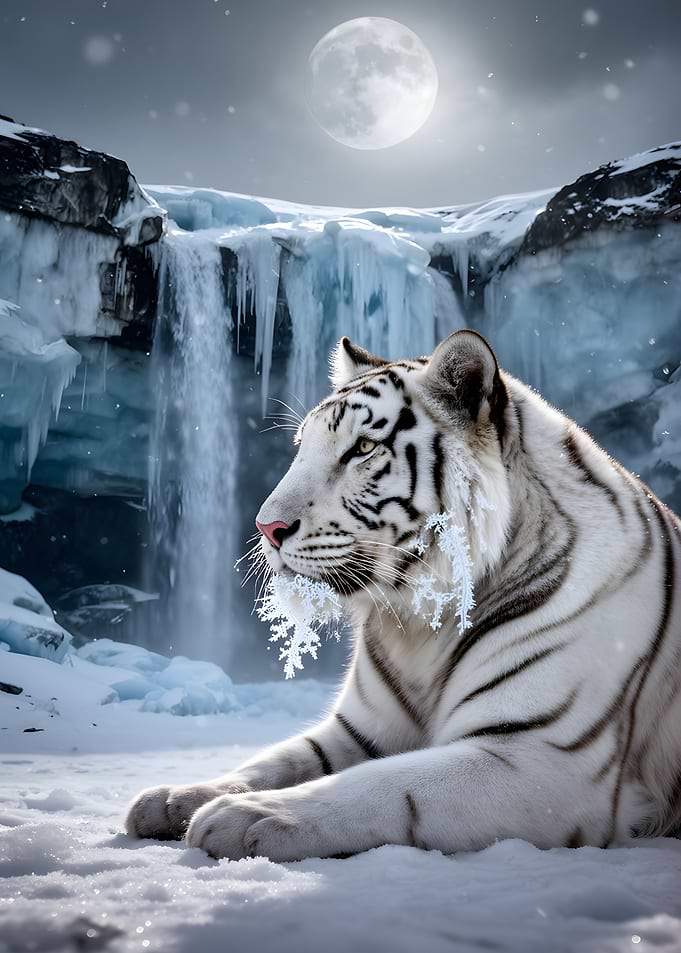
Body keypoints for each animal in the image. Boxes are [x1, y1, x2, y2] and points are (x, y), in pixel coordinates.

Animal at [126, 329, 681, 860]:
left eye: (363, 449)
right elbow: (273, 760)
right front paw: (175, 797)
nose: (267, 527)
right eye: (302, 448)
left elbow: (387, 785)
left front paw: (246, 816)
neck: (418, 626)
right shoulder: (358, 730)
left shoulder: (540, 755)